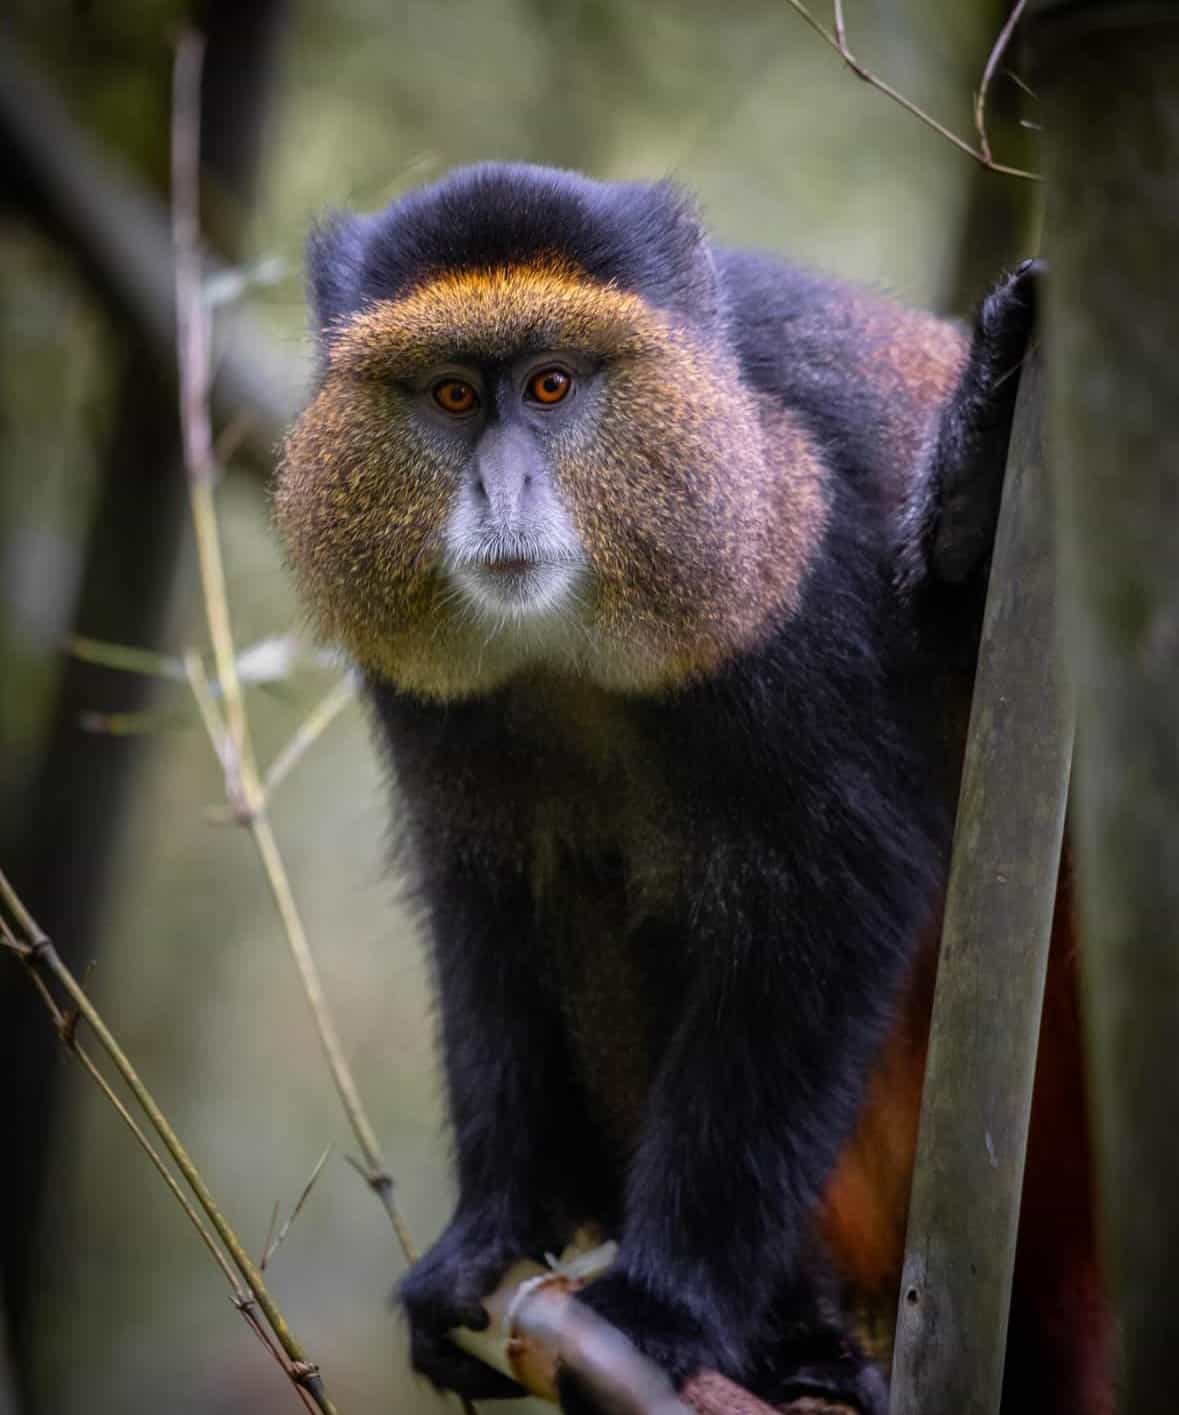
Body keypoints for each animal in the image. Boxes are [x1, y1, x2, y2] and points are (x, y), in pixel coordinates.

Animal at [275, 163, 1107, 1415]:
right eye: (455, 394)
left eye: (554, 384)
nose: (504, 488)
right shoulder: (438, 734)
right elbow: (492, 923)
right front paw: (490, 1235)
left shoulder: (800, 589)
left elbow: (824, 919)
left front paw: (665, 1309)